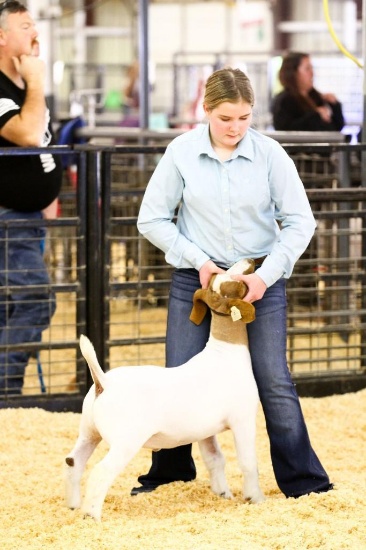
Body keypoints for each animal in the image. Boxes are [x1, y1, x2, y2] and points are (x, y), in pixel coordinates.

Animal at [64, 258, 264, 520]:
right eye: (235, 283)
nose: (249, 260)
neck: (225, 352)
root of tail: (103, 383)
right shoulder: (243, 419)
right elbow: (248, 462)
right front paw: (255, 498)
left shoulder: (205, 431)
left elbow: (215, 459)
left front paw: (223, 494)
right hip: (126, 440)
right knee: (101, 472)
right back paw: (92, 515)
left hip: (89, 431)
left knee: (73, 462)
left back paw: (74, 505)